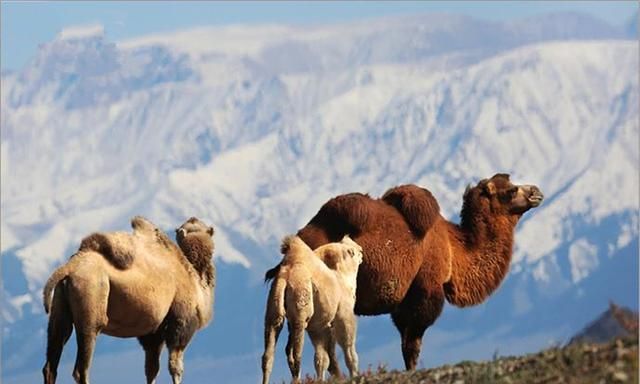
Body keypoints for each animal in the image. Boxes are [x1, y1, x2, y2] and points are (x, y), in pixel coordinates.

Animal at [40, 216, 215, 384]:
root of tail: (70, 266)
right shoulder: (180, 320)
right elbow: (175, 367)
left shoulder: (153, 332)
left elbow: (151, 369)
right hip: (91, 296)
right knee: (81, 366)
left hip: (60, 304)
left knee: (52, 361)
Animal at [262, 234, 362, 384]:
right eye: (352, 252)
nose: (361, 250)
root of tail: (286, 279)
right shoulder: (344, 314)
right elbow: (349, 350)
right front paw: (355, 377)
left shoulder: (318, 327)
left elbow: (321, 359)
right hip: (300, 314)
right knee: (296, 355)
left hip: (273, 311)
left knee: (268, 355)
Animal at [266, 174, 544, 372]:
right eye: (510, 190)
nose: (536, 192)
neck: (453, 247)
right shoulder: (424, 292)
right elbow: (413, 346)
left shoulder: (403, 303)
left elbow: (404, 343)